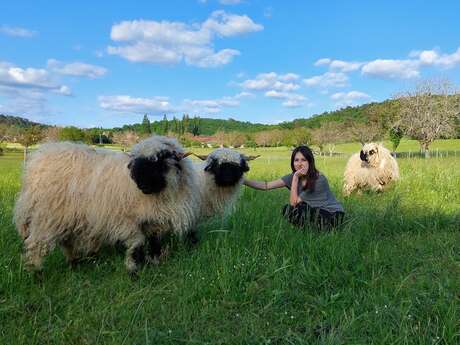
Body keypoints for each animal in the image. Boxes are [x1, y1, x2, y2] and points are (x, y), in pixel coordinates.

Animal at [13, 134, 198, 272]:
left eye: (160, 160)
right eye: (137, 163)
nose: (142, 185)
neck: (161, 194)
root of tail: (38, 160)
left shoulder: (155, 218)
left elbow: (154, 241)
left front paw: (154, 261)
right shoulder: (125, 219)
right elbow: (136, 243)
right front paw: (133, 268)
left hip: (65, 215)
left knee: (66, 241)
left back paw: (74, 263)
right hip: (47, 215)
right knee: (36, 245)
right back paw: (37, 274)